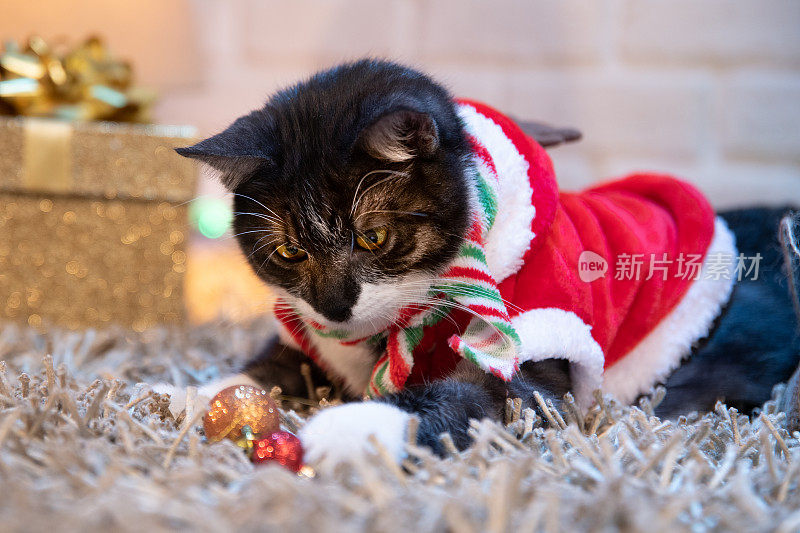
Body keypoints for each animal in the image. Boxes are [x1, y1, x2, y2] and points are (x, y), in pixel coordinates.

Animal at [175, 59, 800, 466]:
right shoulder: (313, 338)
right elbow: (276, 362)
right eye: (288, 251)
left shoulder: (527, 338)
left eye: (373, 237)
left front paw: (360, 426)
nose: (334, 306)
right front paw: (199, 394)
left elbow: (480, 397)